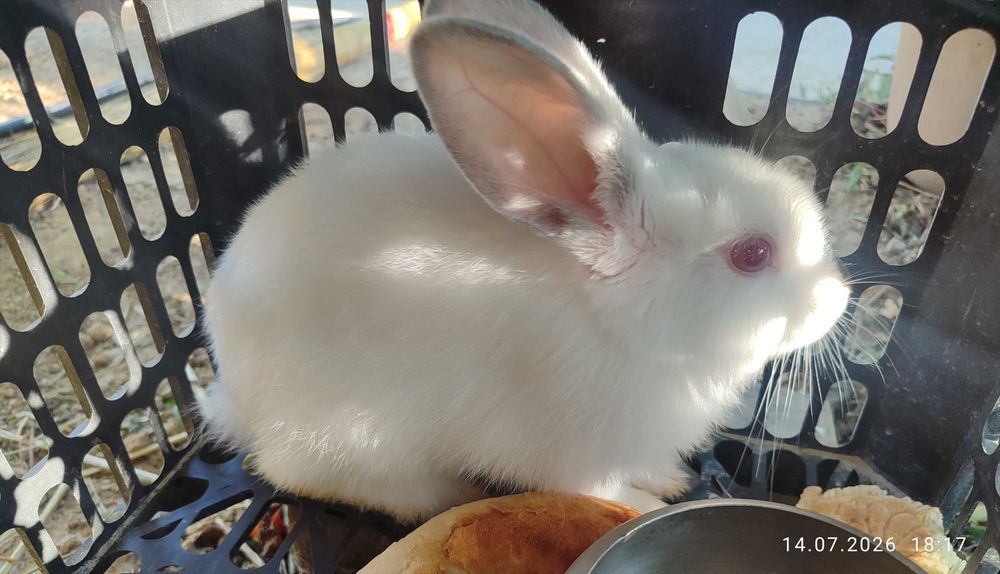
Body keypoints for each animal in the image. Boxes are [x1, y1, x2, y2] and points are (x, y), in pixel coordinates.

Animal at [199, 0, 850, 521]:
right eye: (752, 253)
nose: (841, 297)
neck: (615, 323)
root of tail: (234, 397)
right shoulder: (574, 460)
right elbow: (604, 491)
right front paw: (645, 503)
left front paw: (670, 479)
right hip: (350, 440)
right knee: (308, 474)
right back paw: (447, 494)